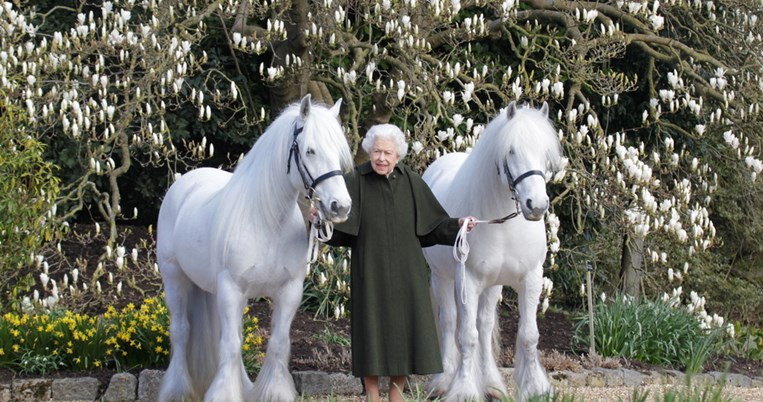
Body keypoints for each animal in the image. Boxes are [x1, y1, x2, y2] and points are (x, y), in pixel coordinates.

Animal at [159, 95, 356, 402]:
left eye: (338, 152)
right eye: (310, 150)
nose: (341, 206)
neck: (267, 222)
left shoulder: (289, 291)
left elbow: (277, 343)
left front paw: (273, 392)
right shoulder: (231, 288)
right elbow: (230, 345)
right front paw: (223, 395)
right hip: (174, 277)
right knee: (181, 331)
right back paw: (177, 390)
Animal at [424, 102, 568, 400]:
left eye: (545, 153)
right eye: (511, 151)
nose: (536, 205)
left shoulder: (531, 279)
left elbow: (528, 335)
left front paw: (536, 388)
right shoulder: (467, 280)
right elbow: (466, 336)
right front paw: (464, 390)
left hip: (492, 286)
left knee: (485, 324)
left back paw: (492, 385)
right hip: (441, 277)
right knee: (449, 323)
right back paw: (443, 381)